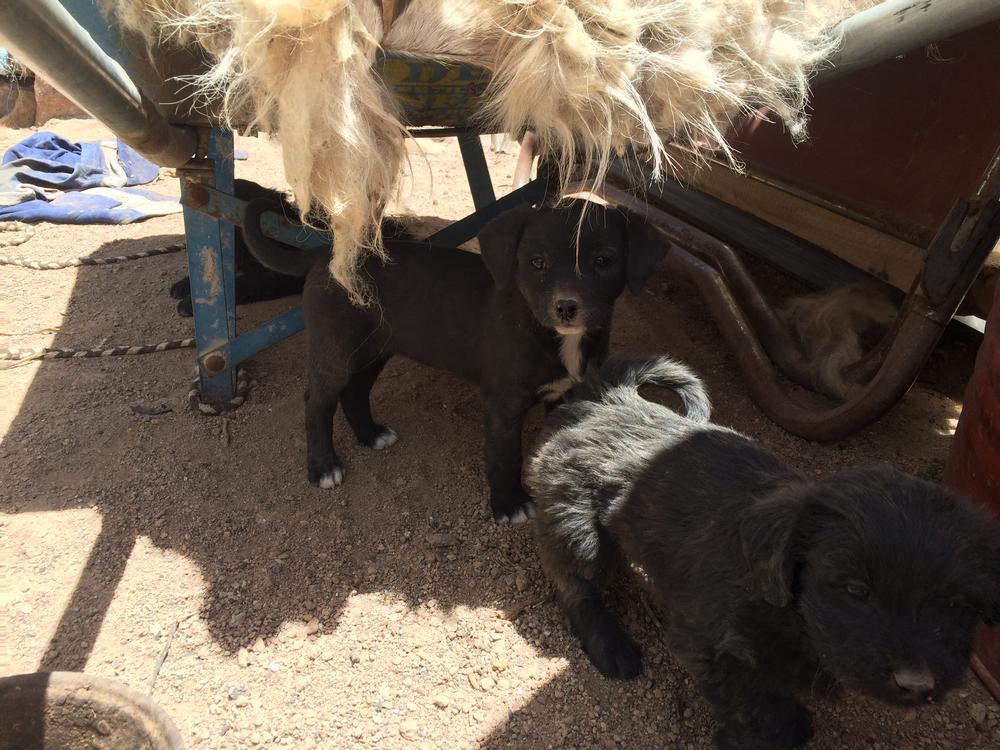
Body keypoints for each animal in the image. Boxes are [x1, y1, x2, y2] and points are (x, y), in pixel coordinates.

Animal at [240, 203, 664, 524]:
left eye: (603, 261)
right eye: (537, 262)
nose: (566, 307)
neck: (548, 333)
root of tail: (324, 254)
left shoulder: (567, 394)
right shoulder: (502, 402)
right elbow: (505, 455)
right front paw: (508, 504)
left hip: (377, 347)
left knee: (355, 392)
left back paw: (371, 434)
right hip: (337, 349)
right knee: (317, 402)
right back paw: (322, 466)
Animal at [528, 360, 1000, 750]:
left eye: (956, 604)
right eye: (855, 590)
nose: (918, 683)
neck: (792, 613)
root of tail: (612, 399)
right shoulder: (703, 641)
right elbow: (757, 704)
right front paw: (764, 732)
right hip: (580, 531)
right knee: (575, 586)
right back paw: (610, 645)